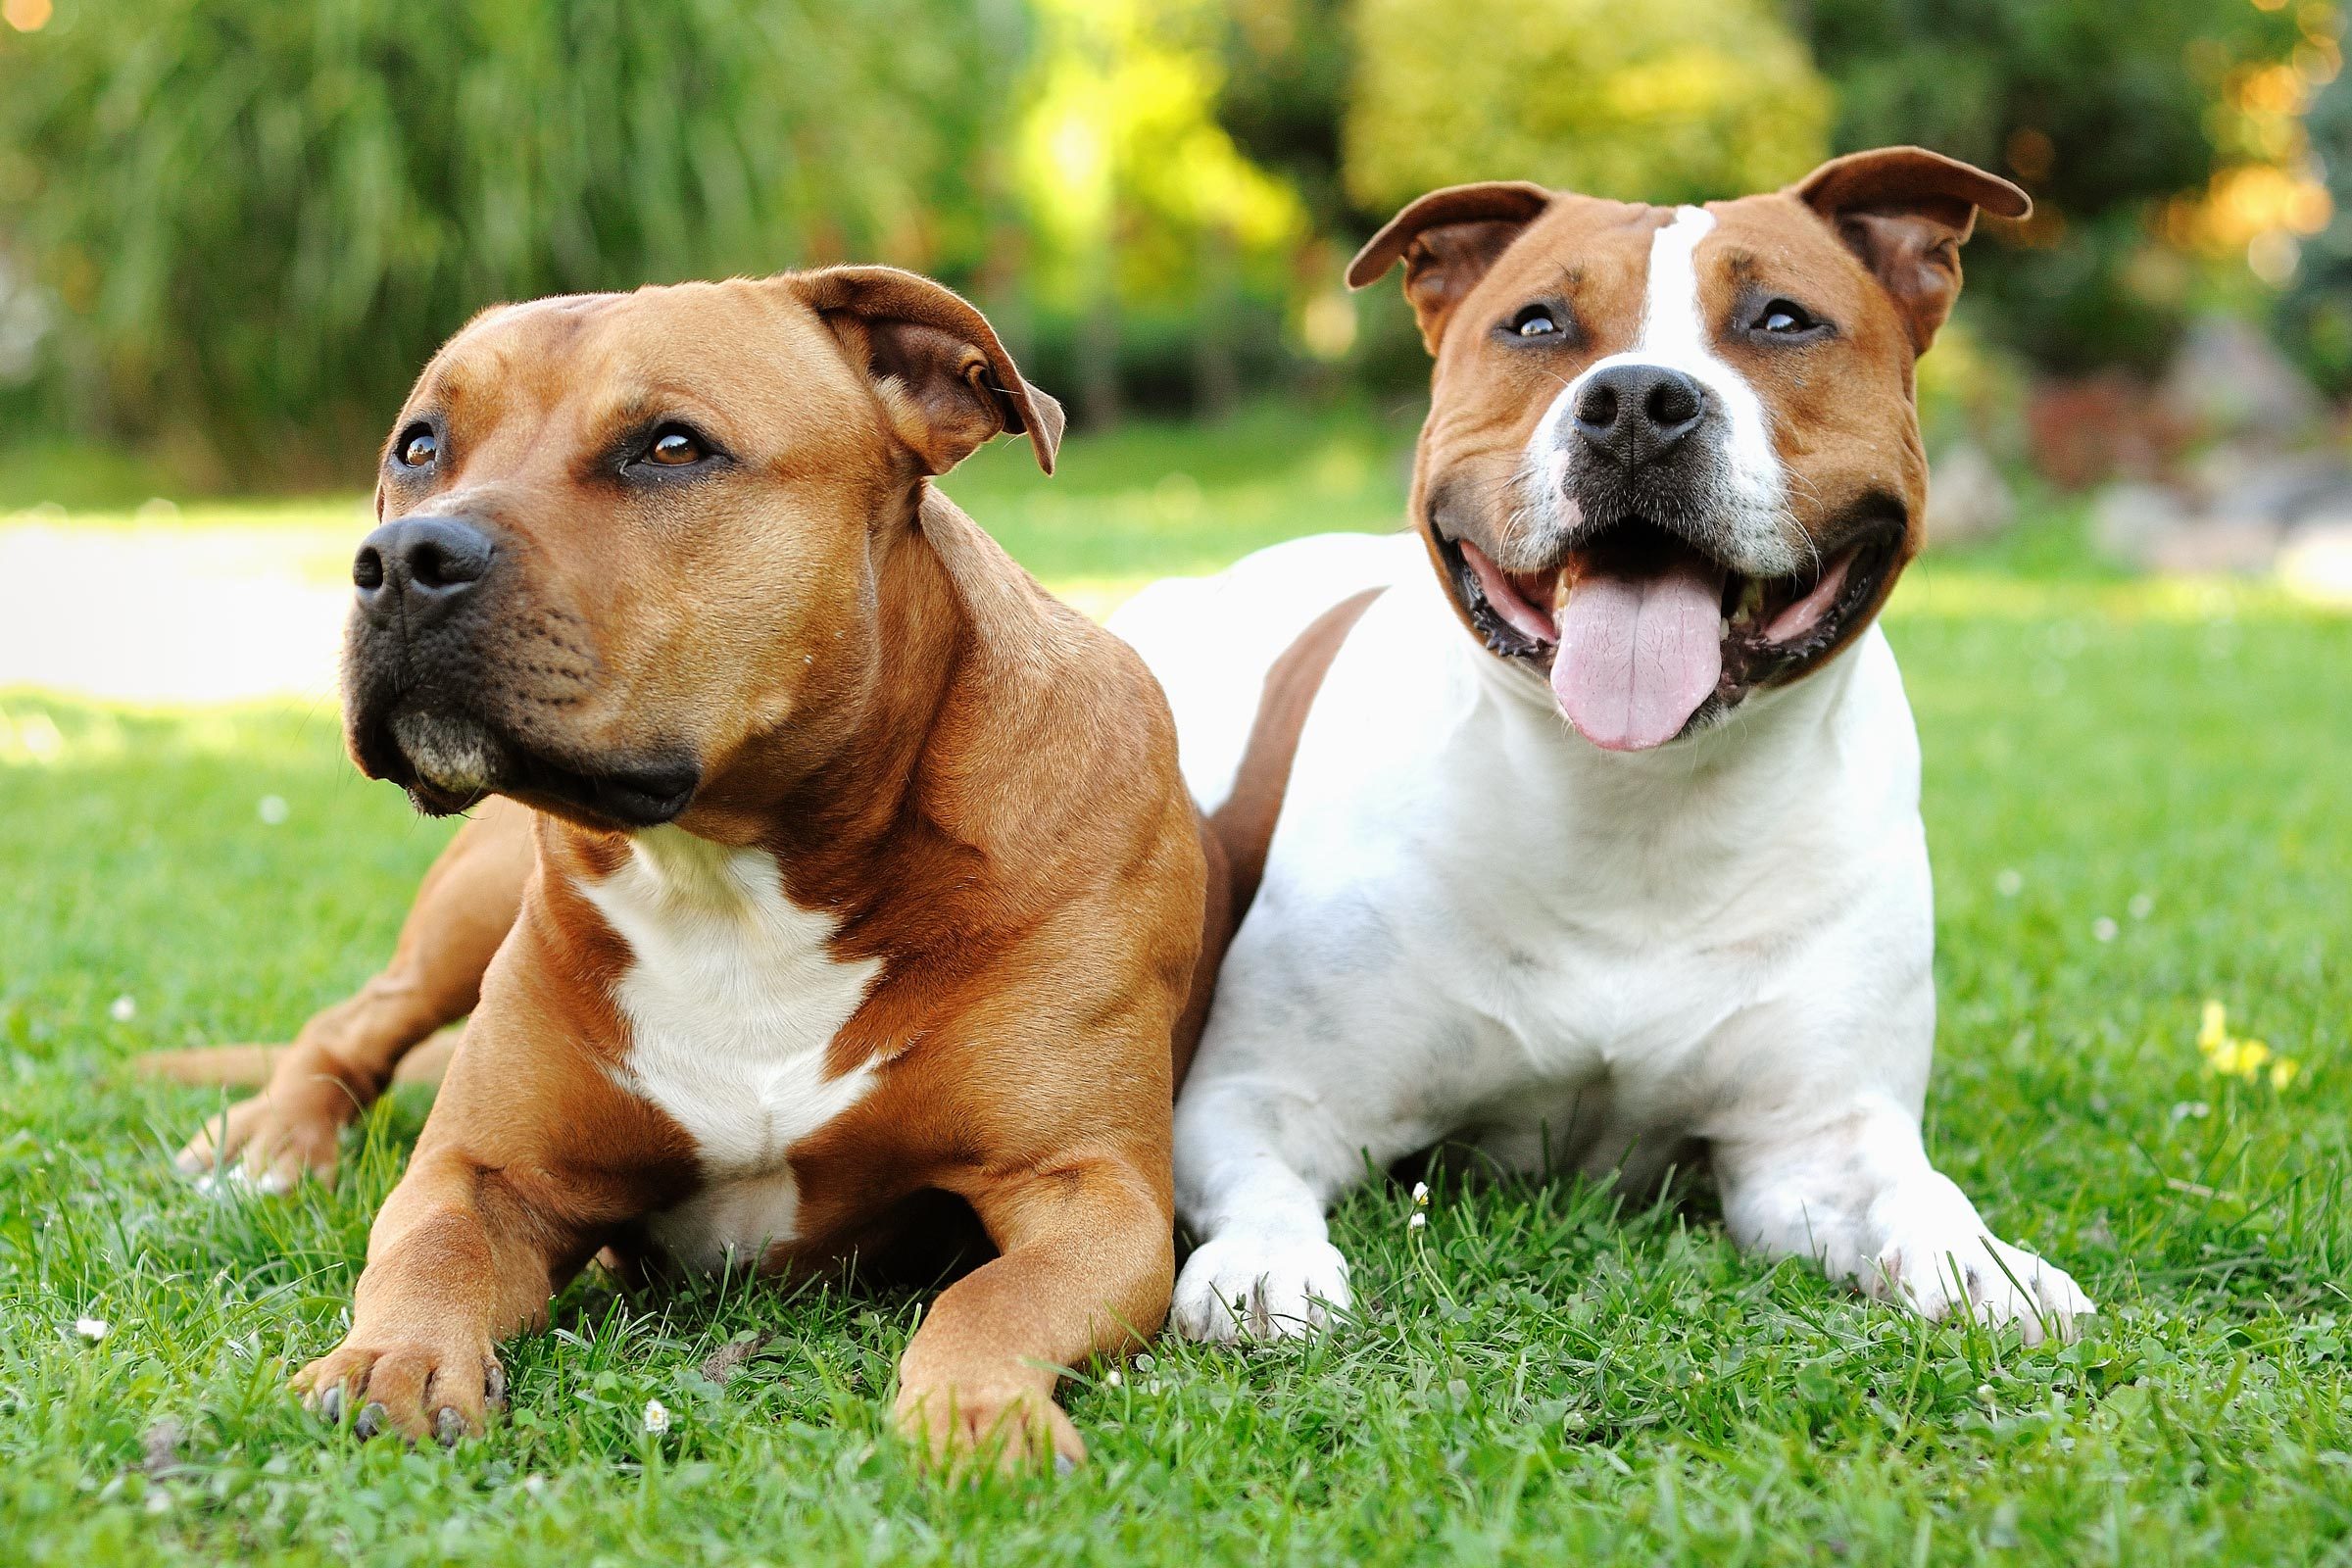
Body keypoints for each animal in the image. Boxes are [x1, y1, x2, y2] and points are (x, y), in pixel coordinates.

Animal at [171, 272, 1213, 1476]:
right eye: (419, 445)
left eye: (672, 446)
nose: (399, 562)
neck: (735, 876)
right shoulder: (483, 1169)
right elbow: (431, 1245)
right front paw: (395, 1358)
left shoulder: (1093, 1193)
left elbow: (994, 1298)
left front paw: (977, 1411)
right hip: (465, 915)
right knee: (353, 1022)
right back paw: (273, 1140)